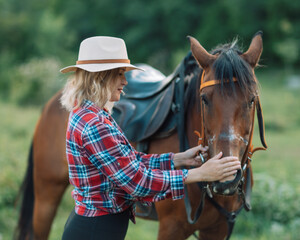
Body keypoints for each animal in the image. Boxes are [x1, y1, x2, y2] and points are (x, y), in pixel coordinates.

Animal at [14, 32, 268, 240]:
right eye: (204, 99)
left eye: (251, 100)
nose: (227, 180)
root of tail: (52, 104)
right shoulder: (171, 228)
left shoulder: (217, 229)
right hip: (46, 197)